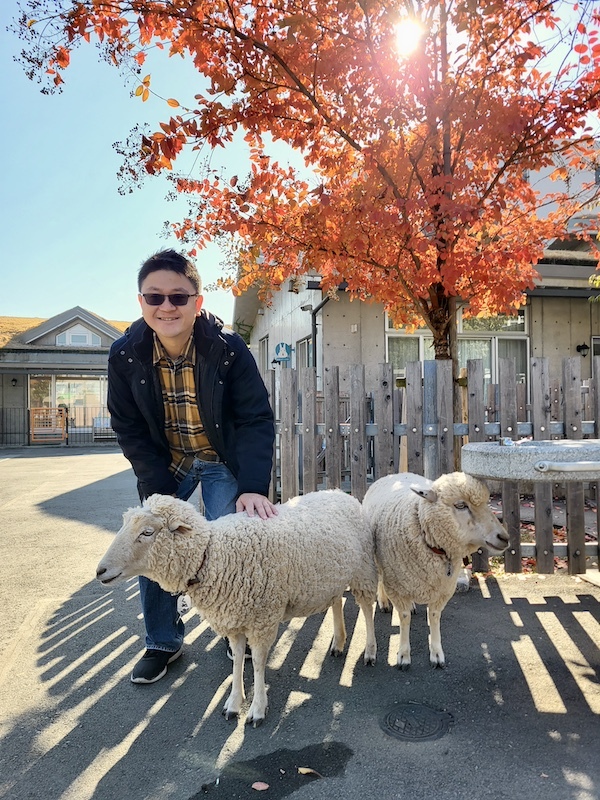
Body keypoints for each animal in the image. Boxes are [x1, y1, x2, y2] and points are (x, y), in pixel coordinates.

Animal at [96, 490, 378, 728]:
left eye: (147, 532)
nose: (100, 571)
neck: (213, 555)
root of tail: (339, 492)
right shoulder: (234, 618)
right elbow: (239, 659)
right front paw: (233, 703)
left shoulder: (263, 619)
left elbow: (259, 664)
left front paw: (257, 708)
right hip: (331, 576)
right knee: (337, 602)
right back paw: (339, 642)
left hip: (363, 567)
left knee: (366, 607)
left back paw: (370, 651)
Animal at [360, 472, 506, 672]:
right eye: (460, 505)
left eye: (486, 503)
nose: (504, 537)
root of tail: (395, 474)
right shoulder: (397, 588)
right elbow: (404, 618)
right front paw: (403, 655)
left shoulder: (443, 591)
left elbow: (434, 617)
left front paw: (437, 653)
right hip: (377, 558)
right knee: (381, 579)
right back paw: (383, 601)